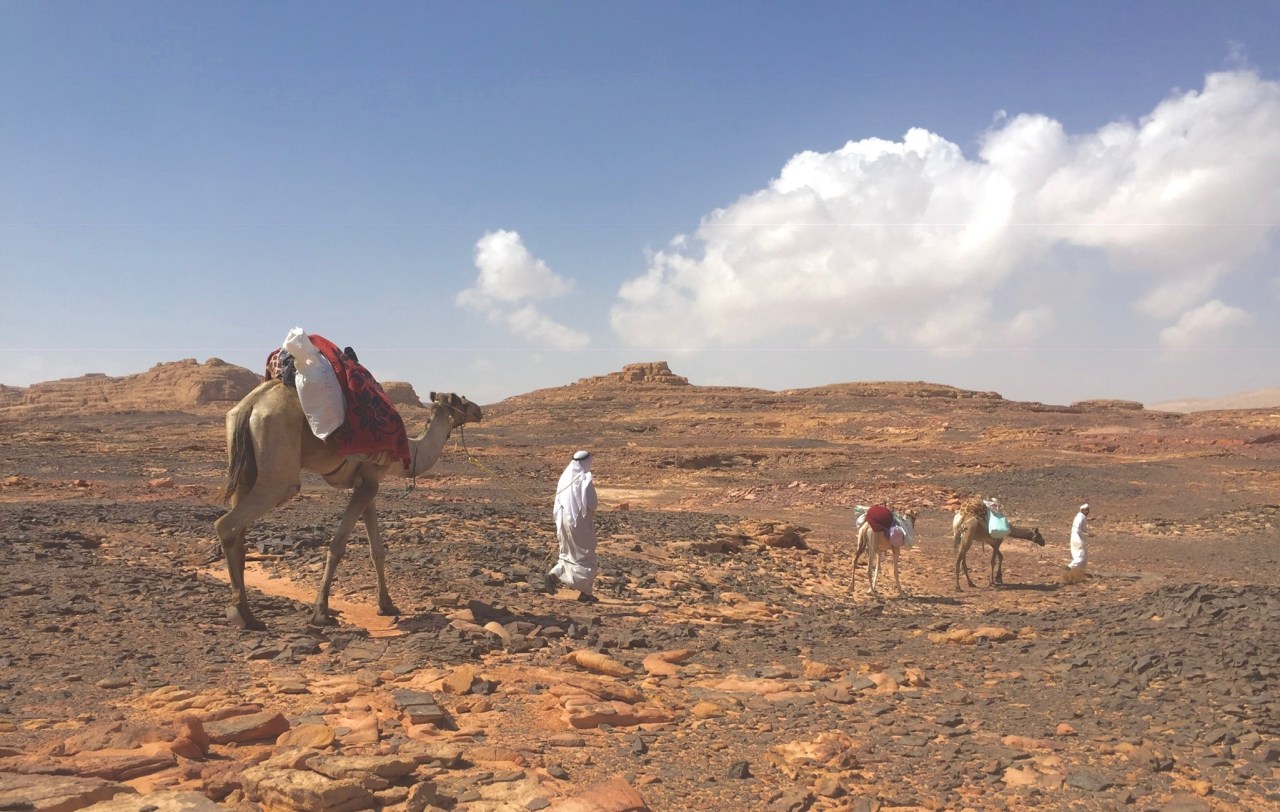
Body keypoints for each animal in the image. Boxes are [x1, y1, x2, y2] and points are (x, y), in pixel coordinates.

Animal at [214, 380, 483, 630]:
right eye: (461, 400)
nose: (479, 410)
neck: (409, 453)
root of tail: (251, 404)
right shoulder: (369, 482)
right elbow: (337, 545)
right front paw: (321, 612)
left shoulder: (368, 482)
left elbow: (377, 550)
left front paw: (387, 605)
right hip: (279, 466)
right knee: (228, 524)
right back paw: (242, 613)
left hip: (245, 468)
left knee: (238, 531)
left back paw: (246, 613)